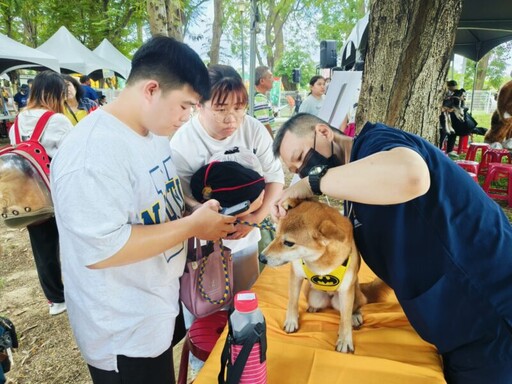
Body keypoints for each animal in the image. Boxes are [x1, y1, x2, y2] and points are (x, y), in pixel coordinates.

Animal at [260, 200, 388, 352]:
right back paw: (314, 307)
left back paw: (355, 316)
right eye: (276, 234)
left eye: (289, 243)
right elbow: (292, 301)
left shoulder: (346, 289)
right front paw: (291, 321)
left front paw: (345, 340)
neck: (319, 261)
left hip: (352, 294)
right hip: (311, 293)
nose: (261, 258)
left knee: (355, 307)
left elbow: (345, 319)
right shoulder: (296, 274)